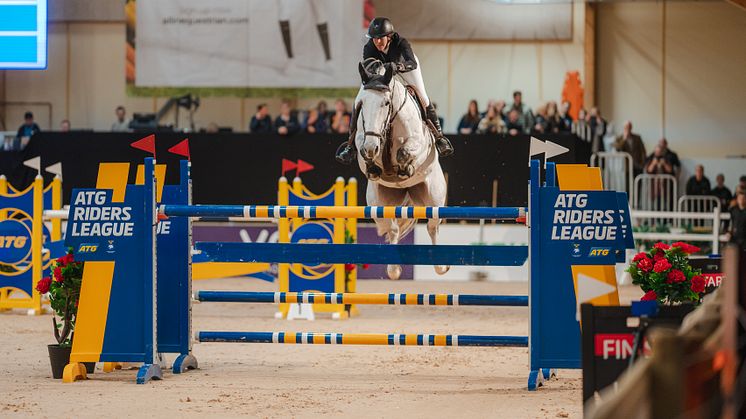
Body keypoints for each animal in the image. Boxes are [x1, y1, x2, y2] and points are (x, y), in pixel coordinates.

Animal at [350, 61, 444, 278]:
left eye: (386, 103)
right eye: (362, 104)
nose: (371, 148)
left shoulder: (419, 142)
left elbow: (405, 152)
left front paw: (404, 169)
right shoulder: (362, 141)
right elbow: (365, 155)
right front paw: (373, 164)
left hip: (434, 199)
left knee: (432, 226)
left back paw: (441, 266)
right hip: (378, 203)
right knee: (391, 228)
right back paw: (393, 270)